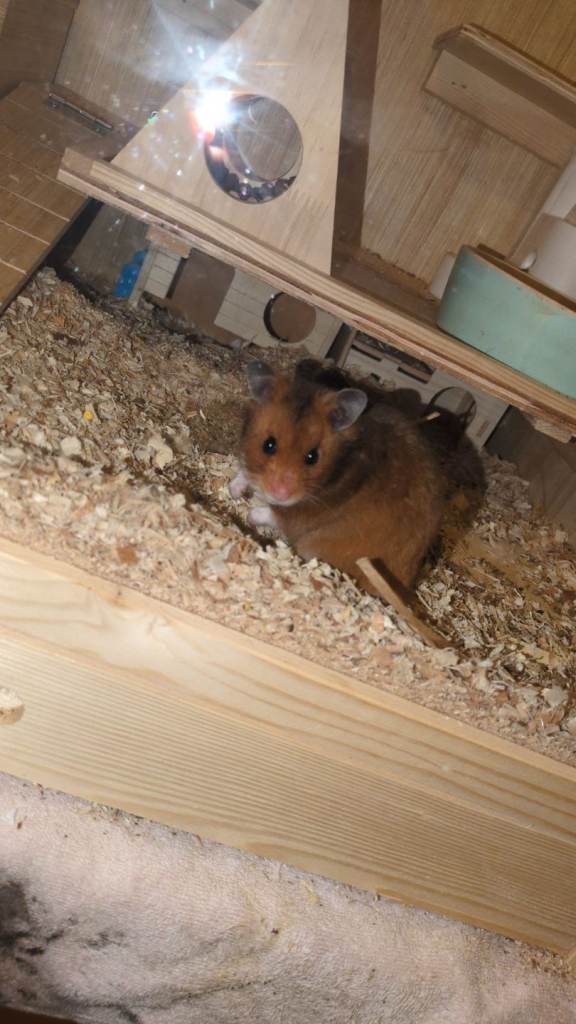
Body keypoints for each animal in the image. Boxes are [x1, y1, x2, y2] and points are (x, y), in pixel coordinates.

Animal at [229, 359, 448, 593]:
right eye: (268, 445)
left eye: (312, 457)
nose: (279, 493)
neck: (338, 469)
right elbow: (244, 474)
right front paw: (233, 492)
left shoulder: (300, 516)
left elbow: (273, 514)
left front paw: (249, 515)